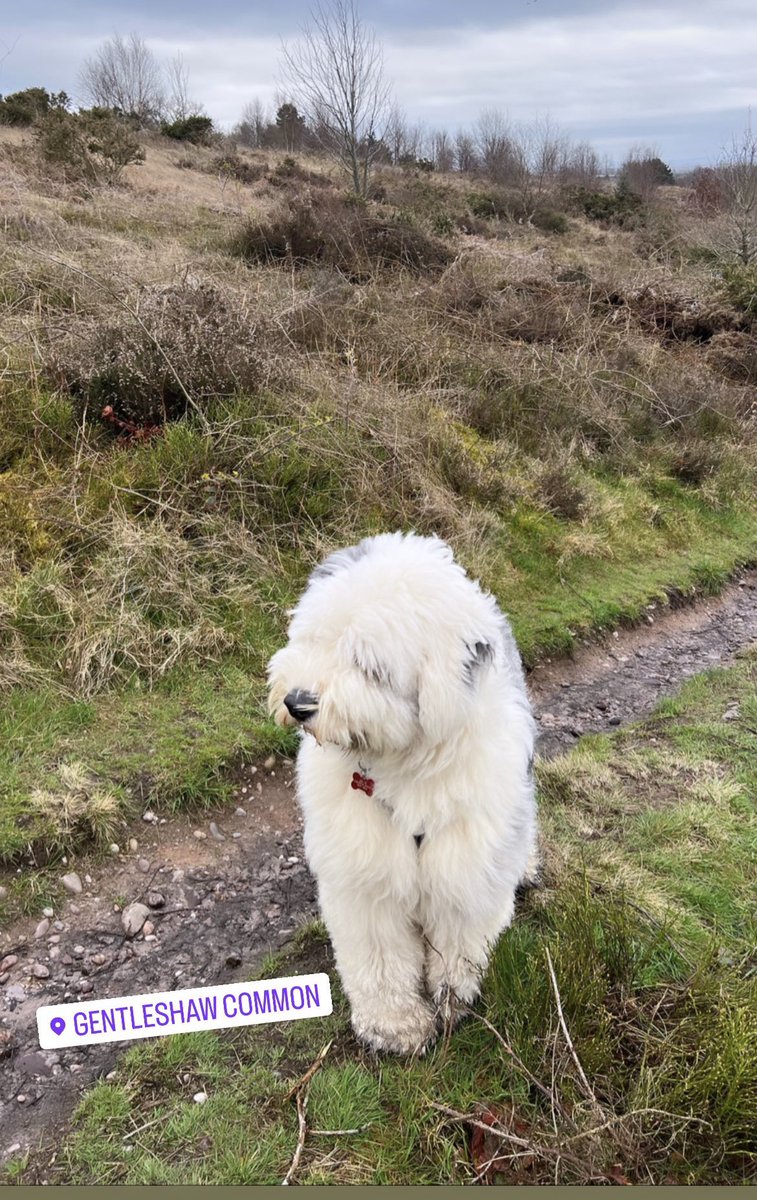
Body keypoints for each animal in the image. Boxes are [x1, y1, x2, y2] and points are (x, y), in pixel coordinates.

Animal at [269, 532, 535, 1051]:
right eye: (314, 638)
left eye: (368, 664)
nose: (298, 702)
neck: (403, 763)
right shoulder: (365, 871)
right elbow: (380, 955)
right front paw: (396, 1026)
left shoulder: (466, 868)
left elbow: (460, 945)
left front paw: (453, 1003)